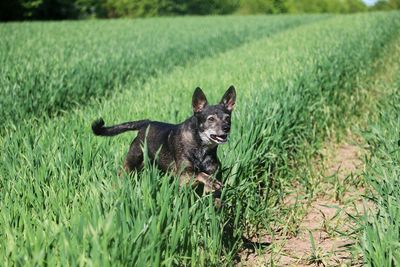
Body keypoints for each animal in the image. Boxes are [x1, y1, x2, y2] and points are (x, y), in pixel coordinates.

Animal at [92, 87, 236, 194]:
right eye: (211, 119)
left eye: (227, 118)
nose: (226, 128)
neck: (201, 146)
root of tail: (146, 123)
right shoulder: (184, 175)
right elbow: (200, 173)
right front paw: (211, 181)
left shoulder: (212, 172)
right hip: (131, 162)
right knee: (121, 174)